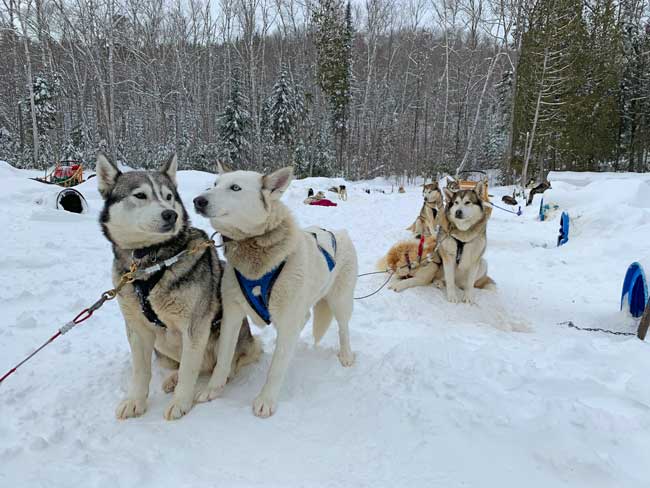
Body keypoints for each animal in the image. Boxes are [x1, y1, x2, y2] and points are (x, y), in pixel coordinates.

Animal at [96, 154, 258, 422]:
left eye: (168, 196)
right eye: (140, 195)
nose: (170, 214)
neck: (151, 263)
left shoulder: (194, 327)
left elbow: (190, 371)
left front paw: (181, 403)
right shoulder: (137, 329)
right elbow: (140, 372)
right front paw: (135, 401)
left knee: (215, 366)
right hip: (161, 346)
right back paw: (172, 378)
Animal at [194, 166, 354, 418]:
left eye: (235, 188)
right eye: (215, 184)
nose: (198, 200)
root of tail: (340, 232)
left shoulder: (287, 321)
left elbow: (276, 369)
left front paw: (266, 400)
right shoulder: (232, 314)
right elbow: (223, 358)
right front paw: (213, 389)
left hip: (340, 301)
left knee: (343, 328)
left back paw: (346, 355)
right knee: (306, 318)